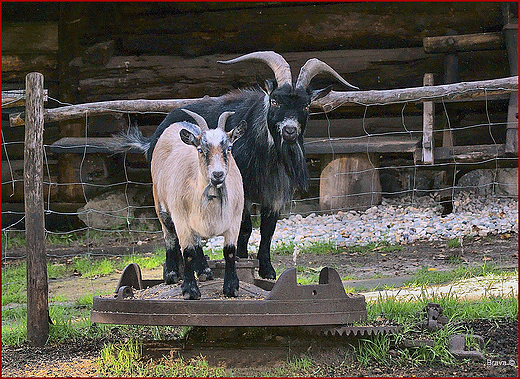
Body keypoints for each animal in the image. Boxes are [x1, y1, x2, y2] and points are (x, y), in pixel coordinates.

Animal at [146, 51, 358, 280]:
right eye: (274, 101)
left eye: (306, 105)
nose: (290, 131)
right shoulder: (242, 190)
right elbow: (245, 227)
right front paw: (241, 259)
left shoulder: (274, 192)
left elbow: (268, 229)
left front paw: (267, 269)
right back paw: (178, 271)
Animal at [151, 110, 247, 300]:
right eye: (201, 149)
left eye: (229, 148)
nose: (217, 174)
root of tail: (178, 124)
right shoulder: (181, 219)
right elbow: (188, 253)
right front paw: (190, 290)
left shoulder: (235, 219)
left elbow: (230, 251)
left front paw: (231, 287)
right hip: (160, 204)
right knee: (169, 237)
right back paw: (171, 274)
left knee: (197, 242)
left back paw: (204, 270)